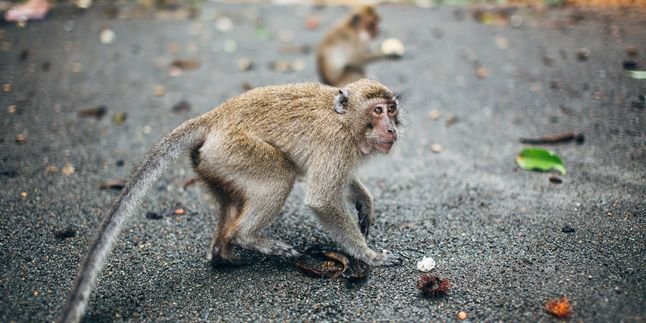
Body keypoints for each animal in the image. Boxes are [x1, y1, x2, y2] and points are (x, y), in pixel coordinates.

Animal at [62, 79, 404, 323]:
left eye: (391, 109)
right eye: (377, 111)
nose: (392, 128)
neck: (344, 120)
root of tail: (214, 117)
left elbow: (340, 184)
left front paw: (365, 202)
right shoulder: (335, 143)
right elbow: (322, 199)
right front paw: (369, 255)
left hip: (211, 162)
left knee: (233, 198)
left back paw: (223, 254)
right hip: (234, 150)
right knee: (280, 175)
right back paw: (246, 238)